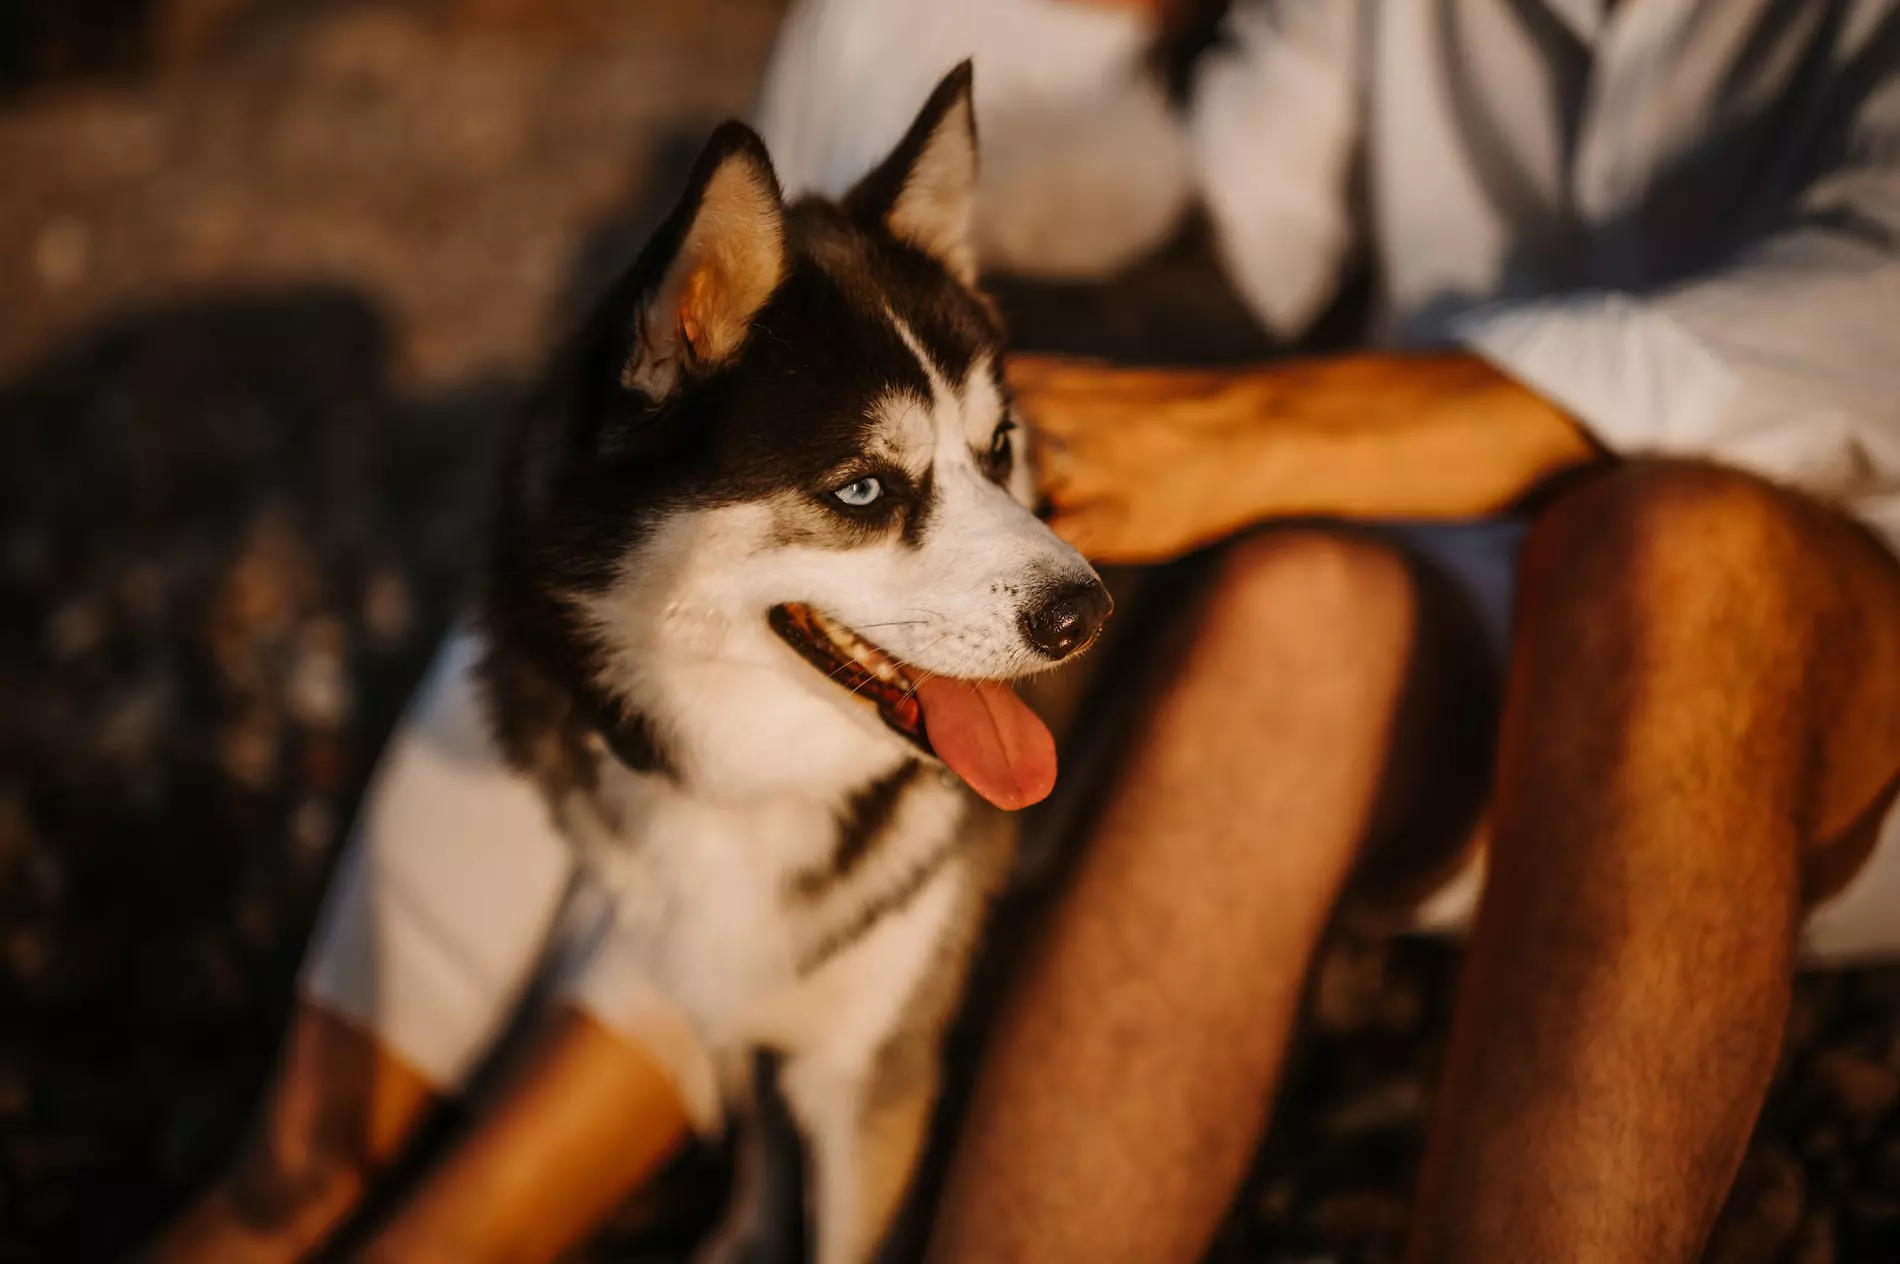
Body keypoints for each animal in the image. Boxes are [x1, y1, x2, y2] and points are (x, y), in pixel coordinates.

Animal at [475, 66, 1109, 1262]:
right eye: (864, 489)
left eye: (997, 448)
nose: (1082, 614)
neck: (753, 788)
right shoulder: (715, 989)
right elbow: (761, 1149)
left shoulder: (872, 1081)